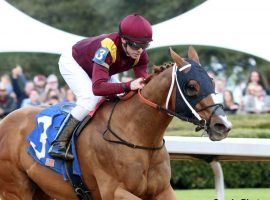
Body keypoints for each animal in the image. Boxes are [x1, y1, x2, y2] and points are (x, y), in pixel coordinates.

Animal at [0, 47, 232, 200]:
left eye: (212, 81)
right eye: (191, 86)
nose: (222, 125)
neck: (138, 136)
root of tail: (6, 120)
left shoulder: (163, 190)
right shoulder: (113, 190)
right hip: (16, 189)